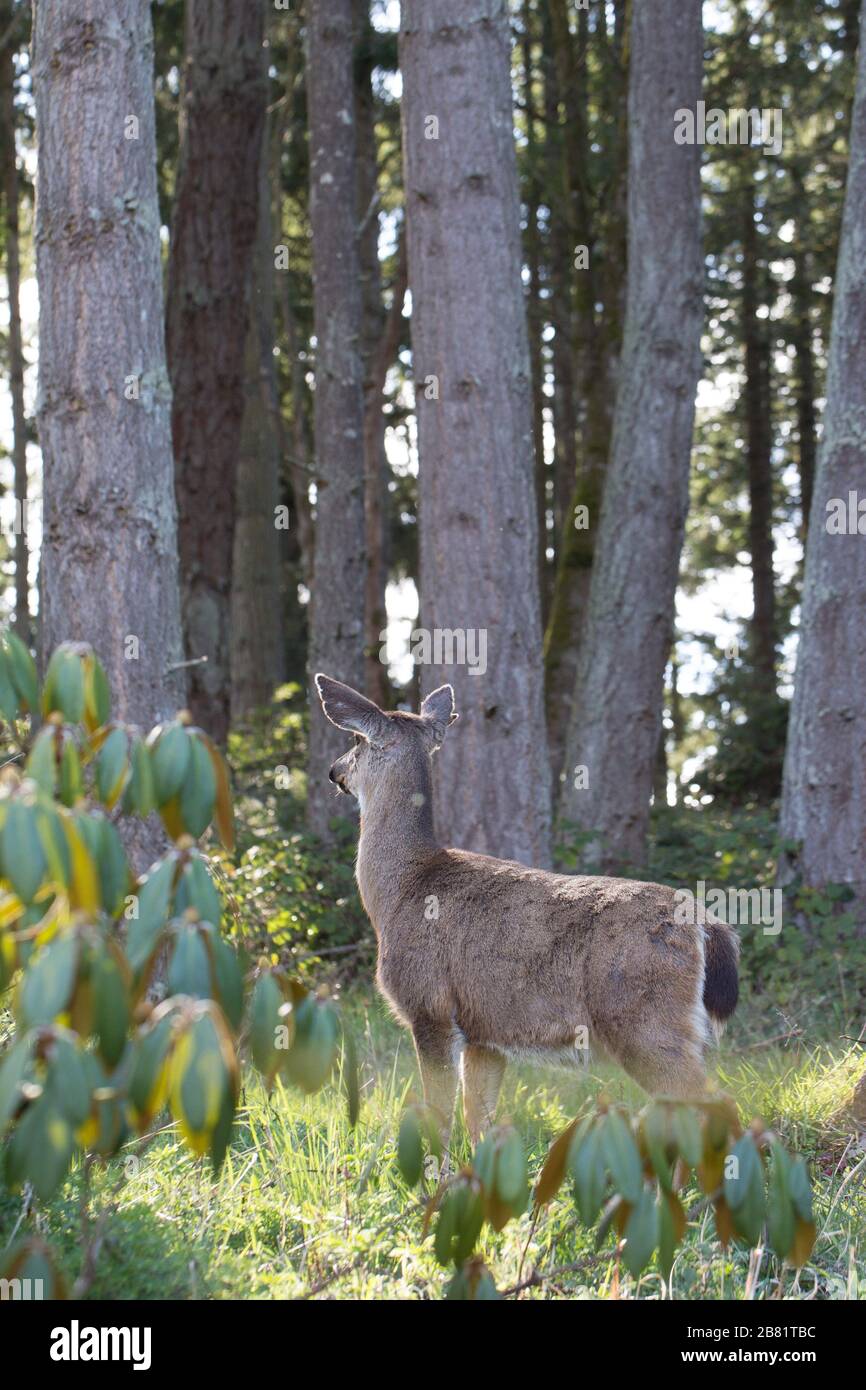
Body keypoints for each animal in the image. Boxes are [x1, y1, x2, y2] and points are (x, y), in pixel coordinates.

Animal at [315, 674, 739, 1146]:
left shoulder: (429, 1006)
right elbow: (479, 1122)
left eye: (356, 740)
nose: (334, 770)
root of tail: (705, 927)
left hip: (645, 1021)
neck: (400, 890)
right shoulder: (484, 1034)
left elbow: (439, 1117)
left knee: (717, 1105)